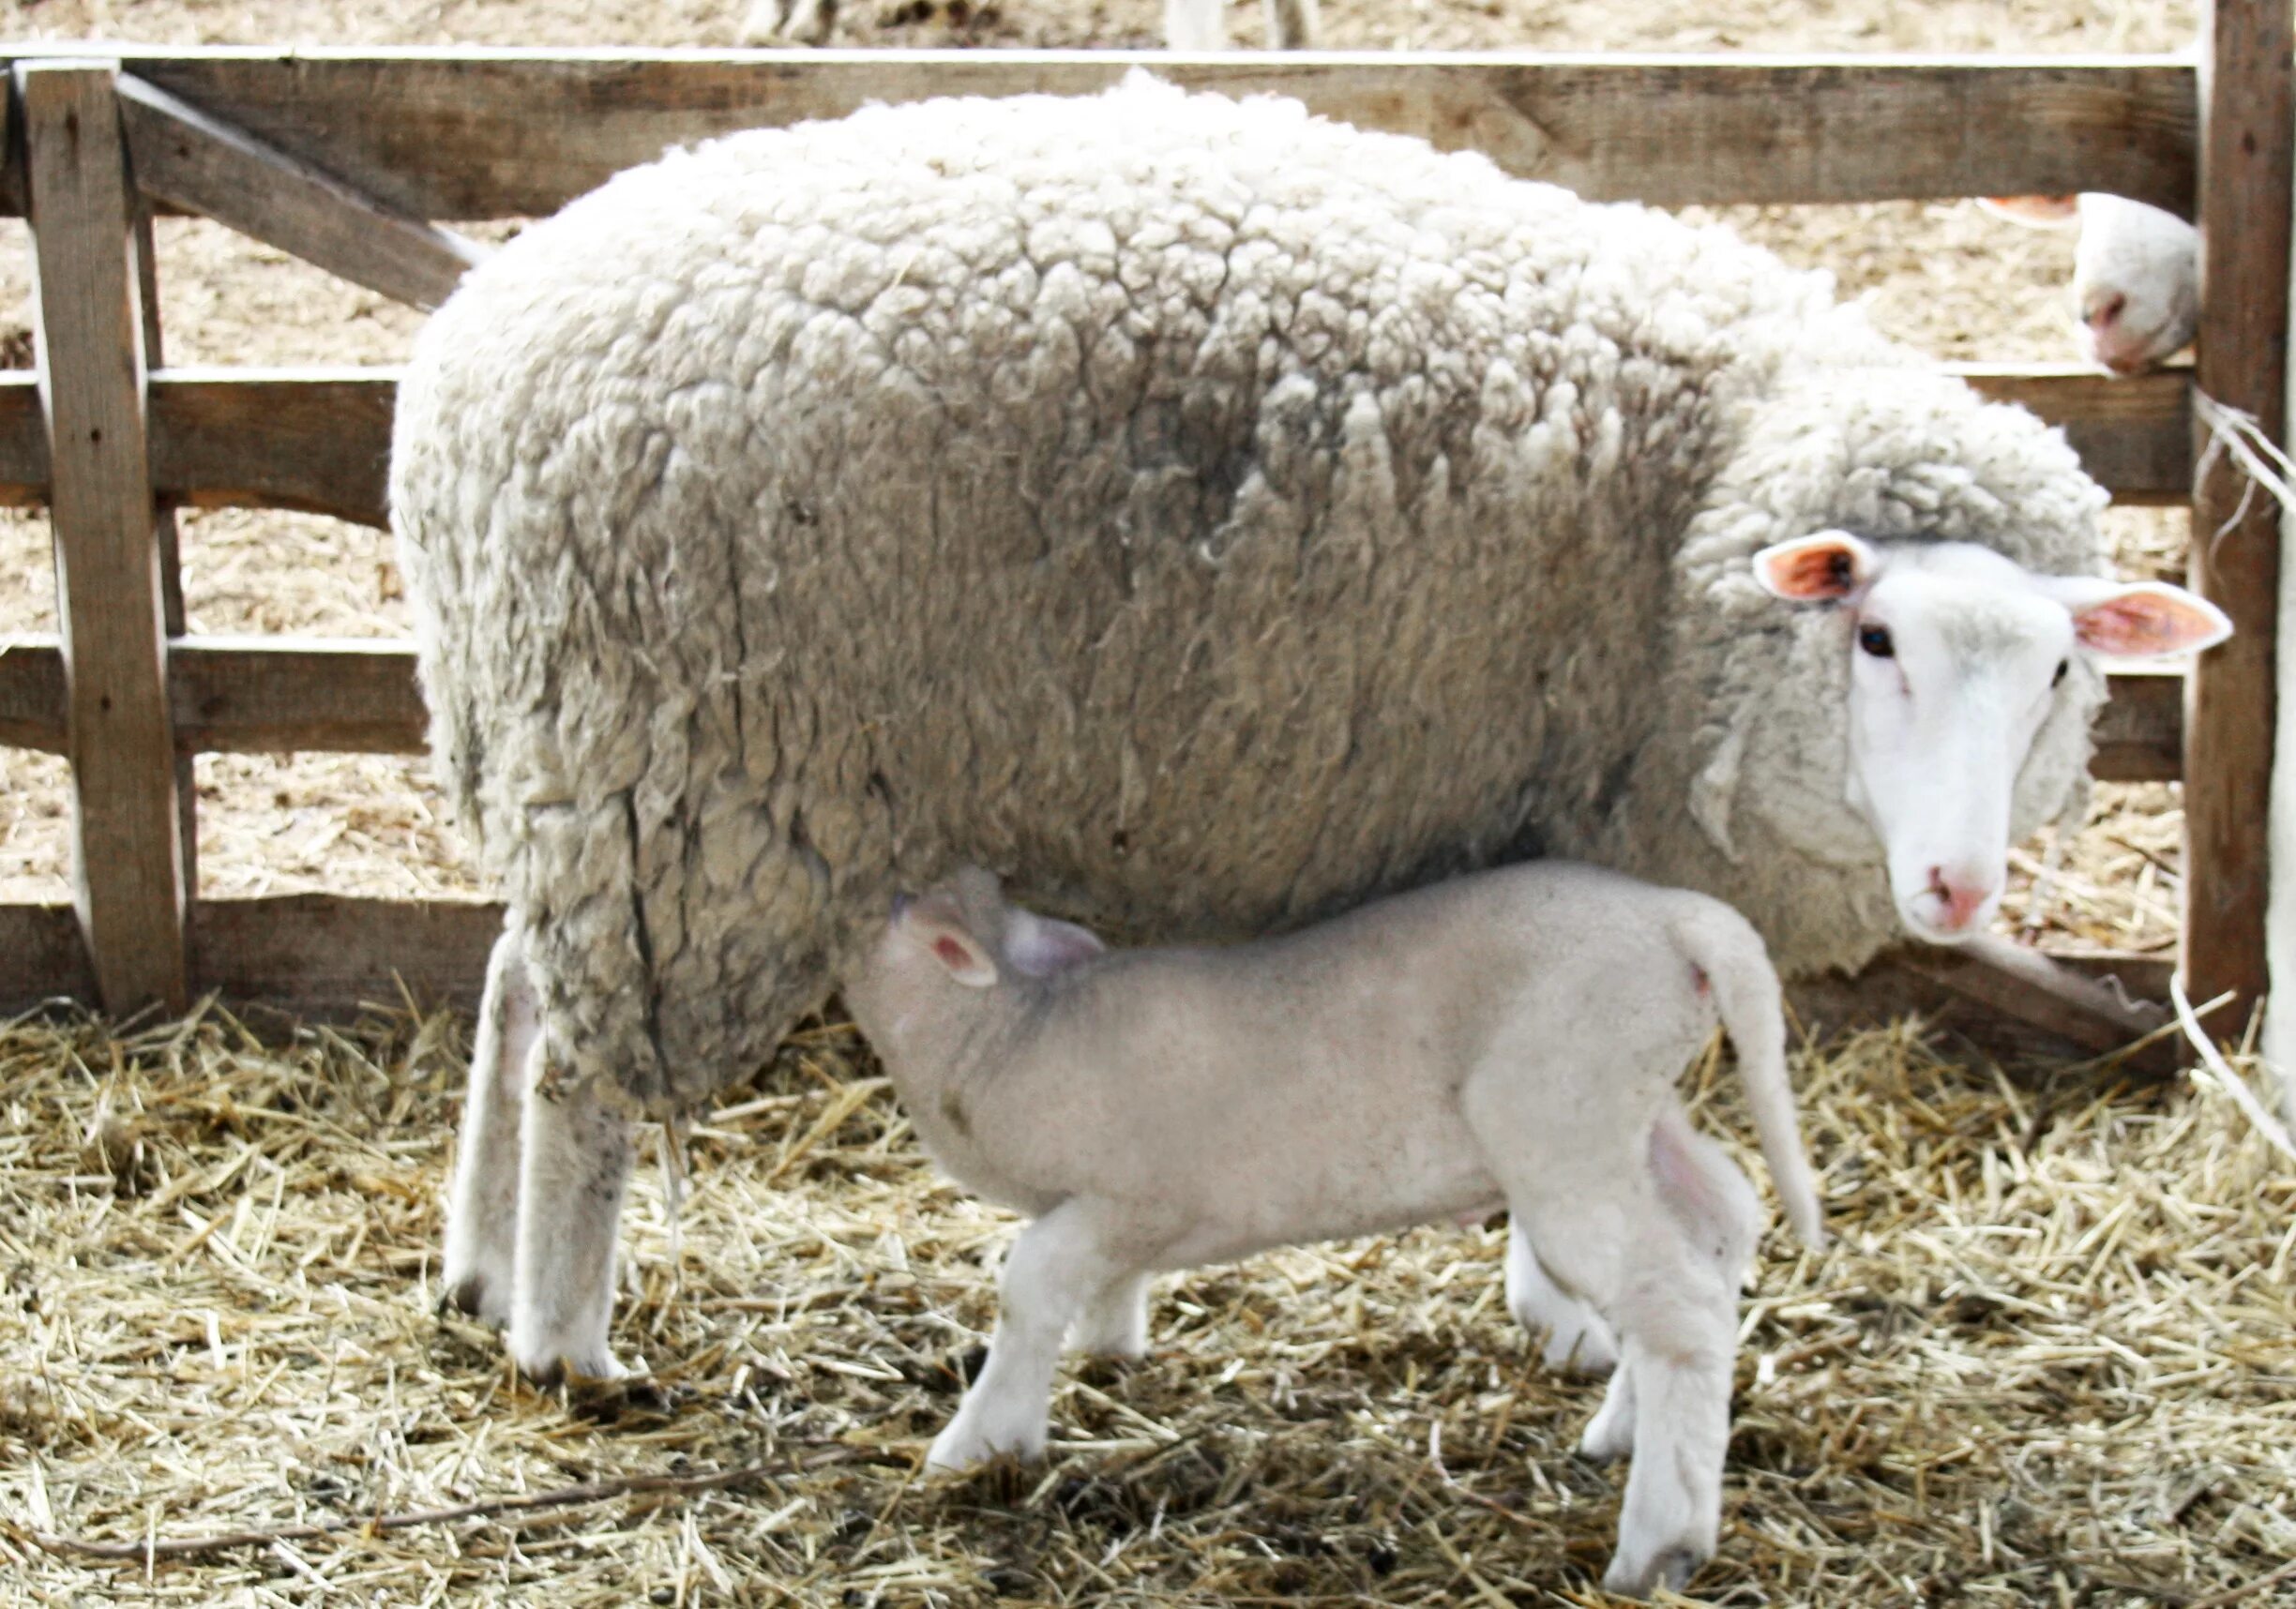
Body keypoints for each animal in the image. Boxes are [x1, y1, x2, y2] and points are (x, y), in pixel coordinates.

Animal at [385, 75, 2231, 1376]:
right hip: (685, 792)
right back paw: (566, 1340)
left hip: (577, 762)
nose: (1958, 891)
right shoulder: (1586, 823)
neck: (1699, 511)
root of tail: (466, 365)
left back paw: (472, 1267)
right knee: (577, 1070)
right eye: (1874, 637)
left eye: (2059, 673)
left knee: (505, 985)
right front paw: (1571, 1315)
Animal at [844, 858, 1827, 1587]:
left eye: (894, 901)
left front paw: (980, 1443)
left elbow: (1028, 1286)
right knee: (1717, 1229)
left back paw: (1662, 1540)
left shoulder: (1133, 1197)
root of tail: (1679, 916)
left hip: (1564, 1113)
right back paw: (1628, 1428)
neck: (1012, 1028)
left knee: (1675, 1307)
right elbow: (1105, 1282)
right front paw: (1108, 1343)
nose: (858, 895)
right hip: (1634, 1114)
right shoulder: (1122, 1216)